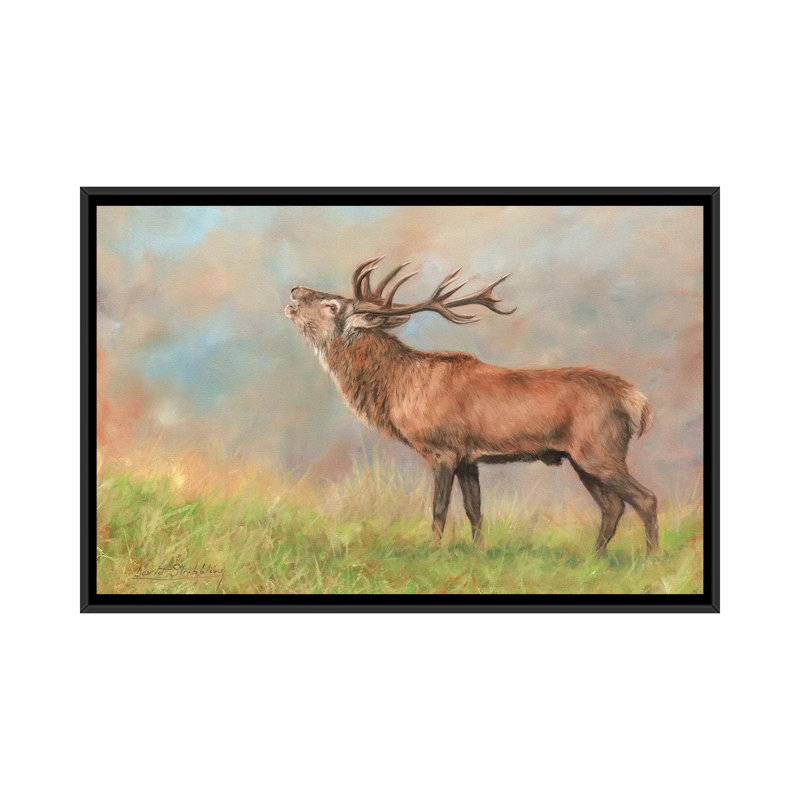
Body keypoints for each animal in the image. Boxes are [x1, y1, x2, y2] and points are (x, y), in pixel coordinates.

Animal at [285, 257, 658, 555]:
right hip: (582, 458)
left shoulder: (443, 449)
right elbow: (475, 510)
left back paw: (650, 559)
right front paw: (479, 552)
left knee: (645, 499)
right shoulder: (468, 457)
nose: (294, 291)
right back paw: (595, 558)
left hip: (600, 449)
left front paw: (434, 552)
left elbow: (439, 508)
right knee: (612, 507)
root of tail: (636, 400)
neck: (399, 390)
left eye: (332, 306)